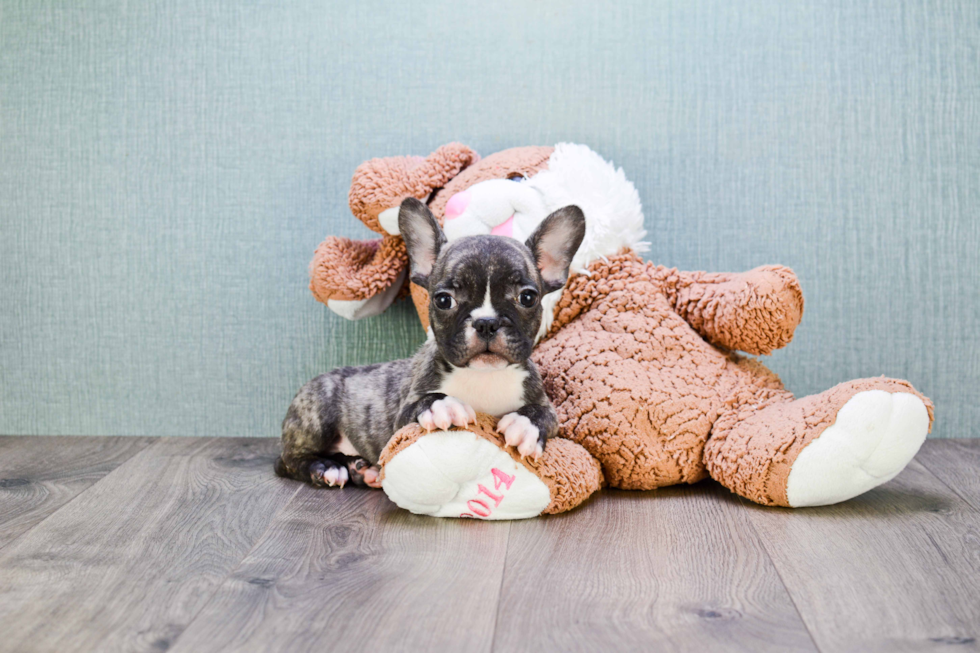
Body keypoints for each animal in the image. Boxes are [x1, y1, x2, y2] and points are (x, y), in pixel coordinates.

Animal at [272, 199, 584, 488]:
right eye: (443, 300)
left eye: (528, 298)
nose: (486, 322)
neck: (483, 375)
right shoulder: (402, 416)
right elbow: (425, 402)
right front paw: (443, 406)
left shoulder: (545, 405)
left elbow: (542, 414)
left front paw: (524, 424)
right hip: (318, 408)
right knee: (288, 460)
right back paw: (327, 468)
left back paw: (362, 469)